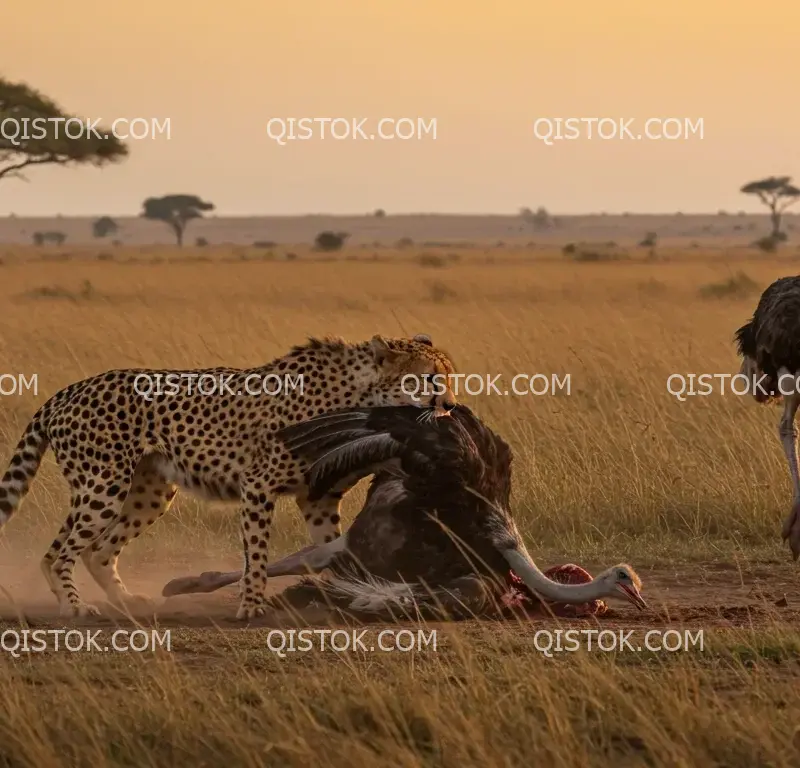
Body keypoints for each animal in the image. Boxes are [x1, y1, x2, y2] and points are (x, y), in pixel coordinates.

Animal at [0, 334, 456, 616]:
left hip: (147, 492)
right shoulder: (258, 485)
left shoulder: (319, 497)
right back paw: (74, 605)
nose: (450, 405)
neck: (358, 397)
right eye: (429, 379)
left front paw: (337, 592)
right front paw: (251, 604)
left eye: (450, 376)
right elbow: (256, 551)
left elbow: (331, 547)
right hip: (103, 486)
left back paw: (126, 600)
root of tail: (69, 389)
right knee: (60, 552)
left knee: (93, 550)